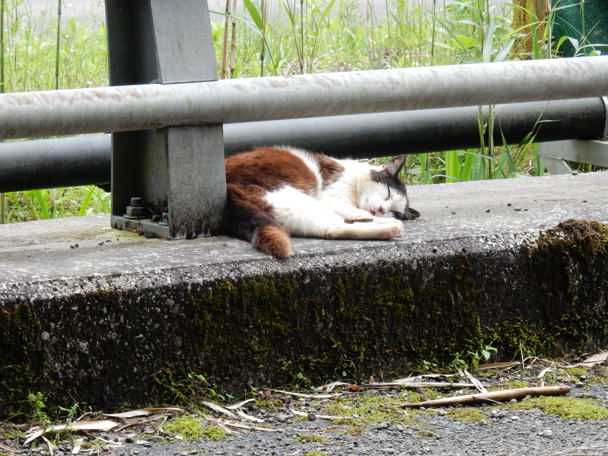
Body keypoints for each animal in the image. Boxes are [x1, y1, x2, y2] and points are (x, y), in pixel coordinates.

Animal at [222, 147, 418, 258]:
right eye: (388, 193)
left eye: (395, 210)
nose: (383, 210)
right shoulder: (330, 197)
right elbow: (358, 212)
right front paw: (388, 220)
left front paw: (389, 219)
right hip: (292, 197)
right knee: (335, 226)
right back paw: (392, 227)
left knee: (332, 229)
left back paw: (387, 229)